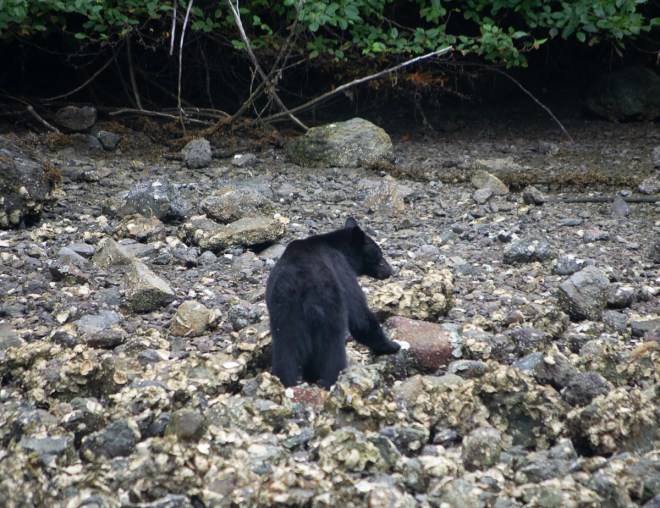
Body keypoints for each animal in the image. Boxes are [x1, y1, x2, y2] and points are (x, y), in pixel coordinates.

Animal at [266, 217, 401, 389]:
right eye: (378, 253)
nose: (389, 270)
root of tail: (305, 287)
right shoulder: (342, 270)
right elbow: (360, 316)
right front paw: (392, 345)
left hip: (284, 313)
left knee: (285, 349)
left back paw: (287, 381)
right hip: (330, 306)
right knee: (332, 349)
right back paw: (334, 379)